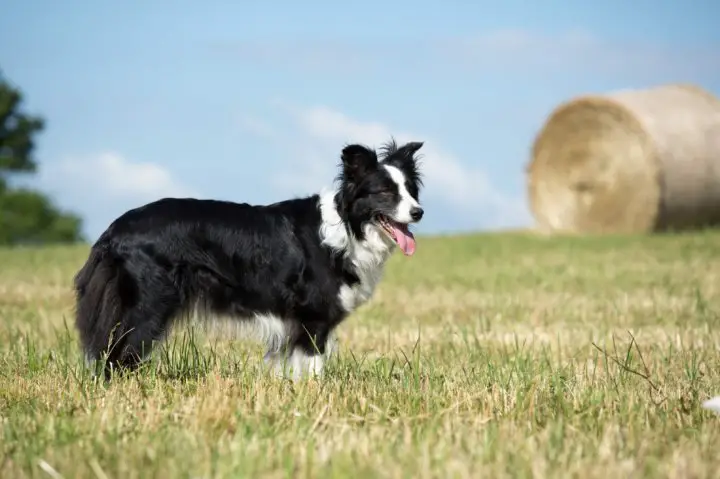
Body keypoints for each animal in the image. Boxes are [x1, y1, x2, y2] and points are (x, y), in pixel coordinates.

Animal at [74, 141, 422, 380]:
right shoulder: (313, 318)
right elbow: (313, 368)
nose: (419, 212)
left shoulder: (294, 325)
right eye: (384, 192)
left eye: (410, 190)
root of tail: (114, 229)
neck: (347, 227)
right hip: (149, 305)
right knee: (118, 356)